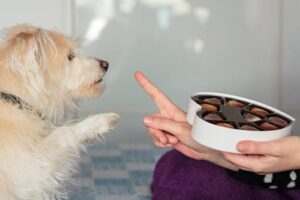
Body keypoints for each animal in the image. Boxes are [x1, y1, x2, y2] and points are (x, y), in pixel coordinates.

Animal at [0, 24, 119, 199]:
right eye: (70, 56)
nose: (106, 64)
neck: (17, 100)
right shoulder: (31, 169)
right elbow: (64, 133)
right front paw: (101, 120)